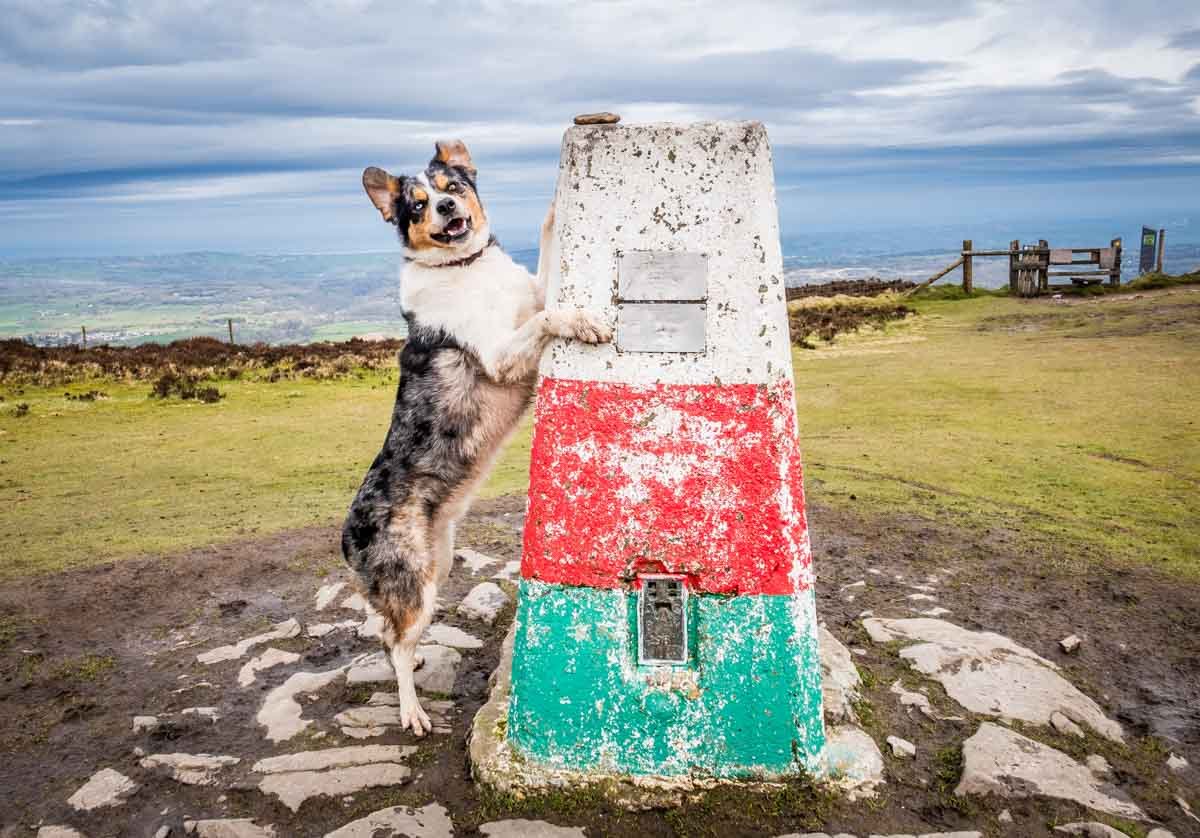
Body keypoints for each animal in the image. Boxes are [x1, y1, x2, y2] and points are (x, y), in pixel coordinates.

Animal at [345, 138, 609, 729]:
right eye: (417, 204)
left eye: (454, 187)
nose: (445, 209)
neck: (465, 267)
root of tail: (346, 537)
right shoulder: (499, 354)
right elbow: (550, 318)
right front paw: (583, 321)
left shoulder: (535, 290)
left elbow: (546, 256)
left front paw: (556, 200)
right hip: (414, 584)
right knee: (395, 643)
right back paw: (412, 710)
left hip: (438, 563)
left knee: (393, 636)